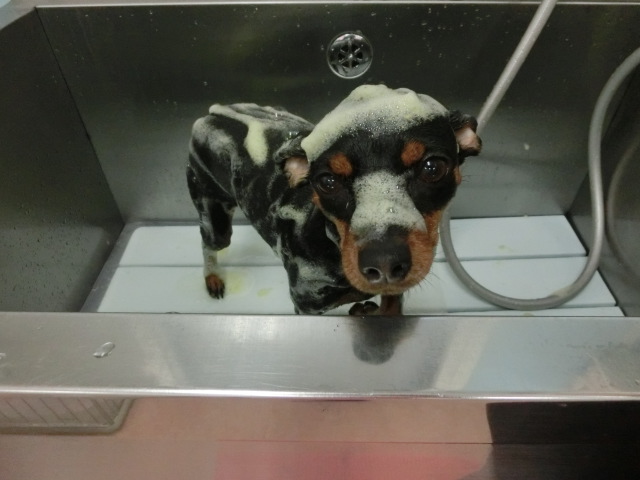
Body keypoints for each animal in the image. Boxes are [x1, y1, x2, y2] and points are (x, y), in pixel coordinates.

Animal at [187, 85, 481, 315]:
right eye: (327, 181)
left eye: (433, 168)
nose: (384, 263)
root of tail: (214, 112)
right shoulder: (306, 306)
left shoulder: (394, 292)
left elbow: (390, 307)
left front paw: (368, 310)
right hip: (212, 211)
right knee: (207, 244)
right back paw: (212, 278)